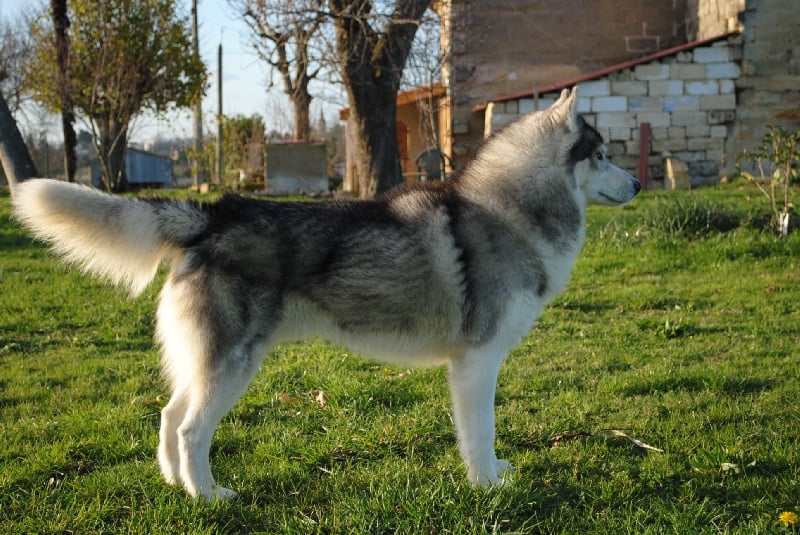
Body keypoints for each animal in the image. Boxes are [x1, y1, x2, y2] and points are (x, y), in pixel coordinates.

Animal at [12, 87, 640, 501]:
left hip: (204, 361)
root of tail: (217, 211)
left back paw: (176, 486)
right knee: (191, 429)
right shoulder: (477, 363)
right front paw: (487, 488)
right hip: (234, 366)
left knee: (169, 416)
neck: (511, 209)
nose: (638, 182)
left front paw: (495, 476)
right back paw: (208, 497)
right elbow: (479, 435)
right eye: (603, 155)